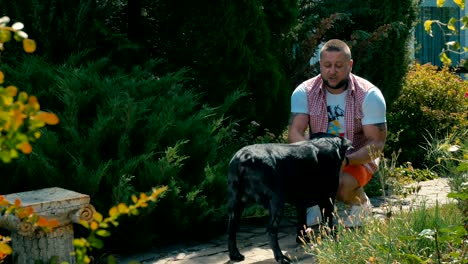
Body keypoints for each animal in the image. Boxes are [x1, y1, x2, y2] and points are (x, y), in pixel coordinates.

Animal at [227, 133, 352, 262]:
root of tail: (243, 157)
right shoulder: (327, 200)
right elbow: (328, 222)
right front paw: (333, 239)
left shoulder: (301, 203)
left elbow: (302, 222)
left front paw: (303, 239)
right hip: (277, 202)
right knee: (271, 231)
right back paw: (281, 257)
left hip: (236, 205)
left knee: (231, 229)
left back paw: (235, 255)